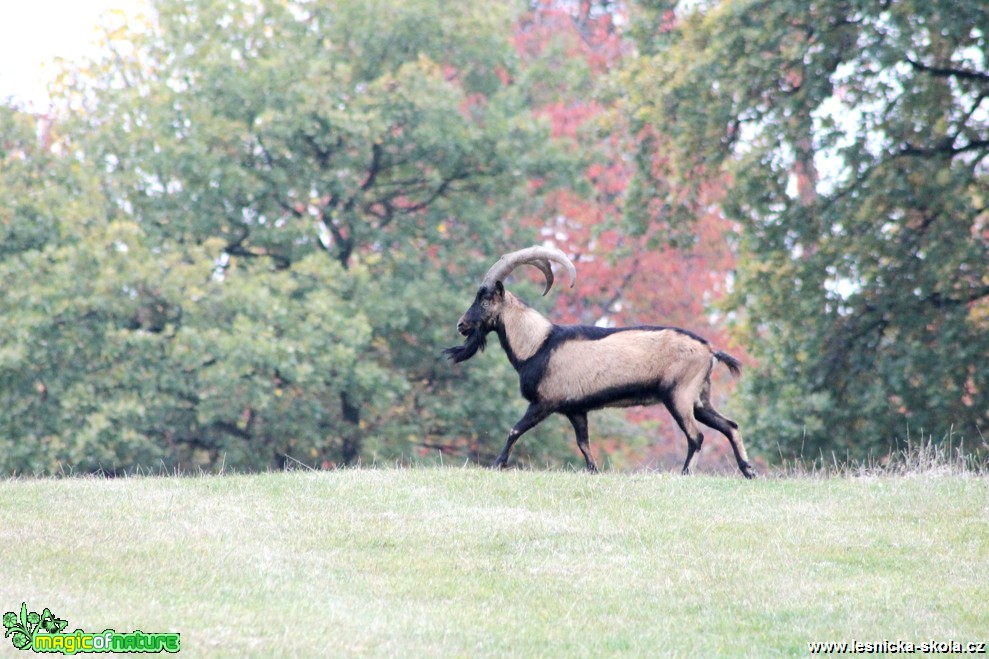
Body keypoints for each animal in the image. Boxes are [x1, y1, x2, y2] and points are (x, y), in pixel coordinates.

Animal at [448, 244, 756, 480]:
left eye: (485, 299)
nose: (461, 324)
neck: (537, 344)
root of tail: (709, 351)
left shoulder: (544, 403)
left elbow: (514, 429)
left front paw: (496, 464)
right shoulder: (576, 409)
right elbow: (583, 443)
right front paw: (594, 471)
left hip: (678, 395)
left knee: (697, 436)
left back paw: (686, 474)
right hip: (700, 398)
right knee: (730, 426)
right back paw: (748, 471)